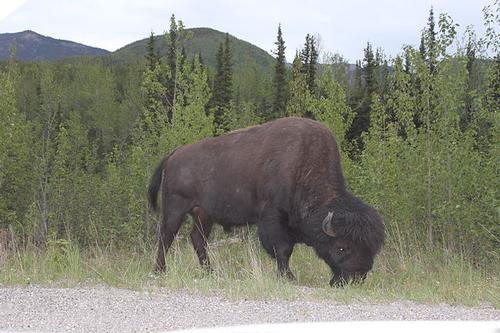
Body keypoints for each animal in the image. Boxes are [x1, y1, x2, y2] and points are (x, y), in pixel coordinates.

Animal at [147, 116, 382, 286]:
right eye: (341, 248)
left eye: (371, 248)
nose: (357, 277)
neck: (302, 166)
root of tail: (175, 153)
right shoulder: (273, 218)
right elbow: (283, 249)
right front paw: (288, 277)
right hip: (175, 209)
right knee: (166, 236)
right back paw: (159, 271)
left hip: (203, 215)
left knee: (198, 240)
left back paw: (210, 272)